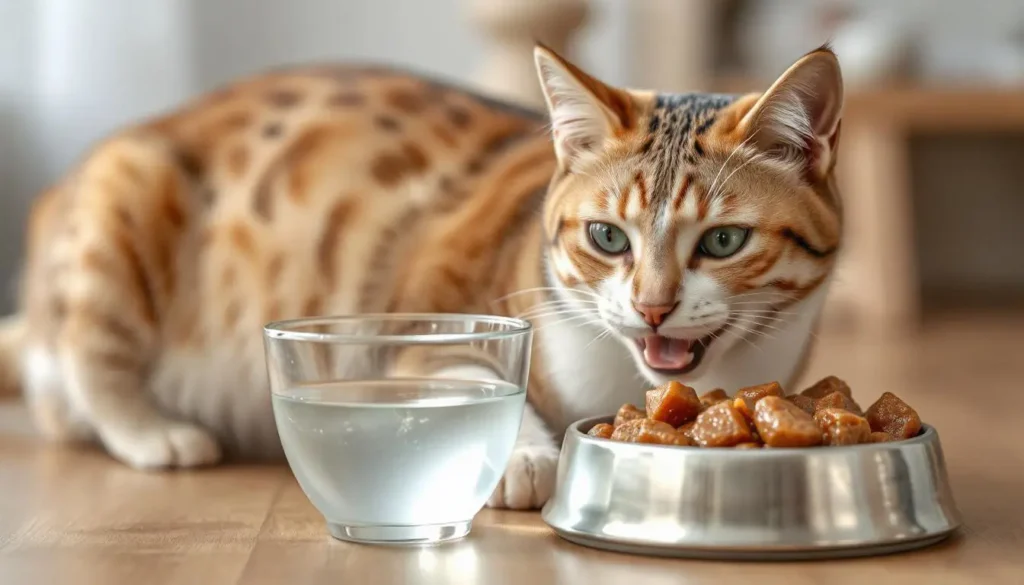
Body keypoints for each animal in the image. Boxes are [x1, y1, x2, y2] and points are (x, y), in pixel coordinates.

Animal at [0, 43, 843, 510]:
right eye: (608, 237)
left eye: (724, 240)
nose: (653, 307)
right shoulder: (428, 316)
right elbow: (473, 371)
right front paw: (526, 456)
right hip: (127, 195)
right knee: (89, 361)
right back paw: (155, 433)